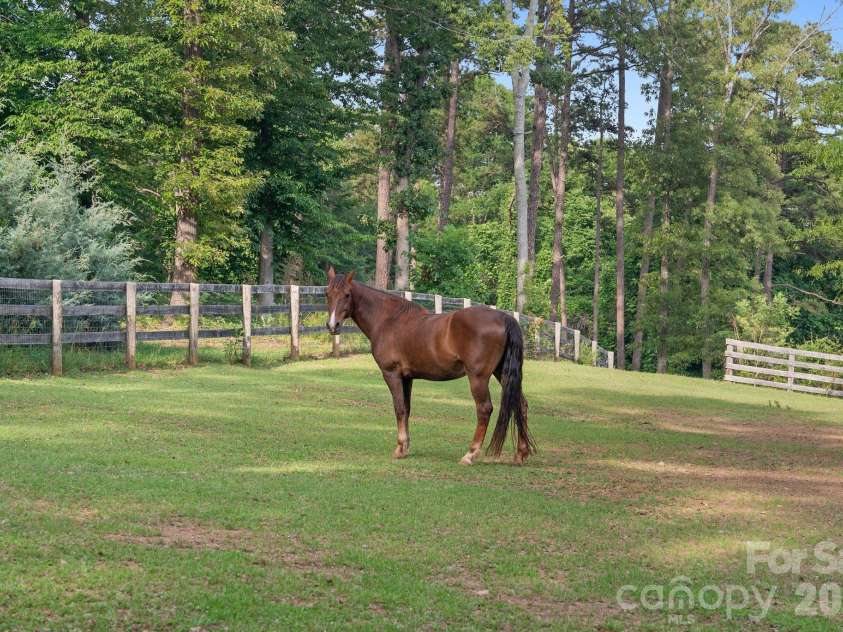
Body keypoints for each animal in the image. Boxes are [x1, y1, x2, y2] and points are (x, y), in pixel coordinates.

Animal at [324, 267, 535, 464]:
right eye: (327, 293)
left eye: (347, 294)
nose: (333, 326)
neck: (388, 320)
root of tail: (504, 317)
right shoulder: (407, 378)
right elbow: (406, 409)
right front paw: (405, 447)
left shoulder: (391, 374)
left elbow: (399, 408)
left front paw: (399, 448)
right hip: (503, 373)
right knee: (521, 404)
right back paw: (521, 453)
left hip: (478, 377)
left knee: (484, 409)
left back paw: (470, 454)